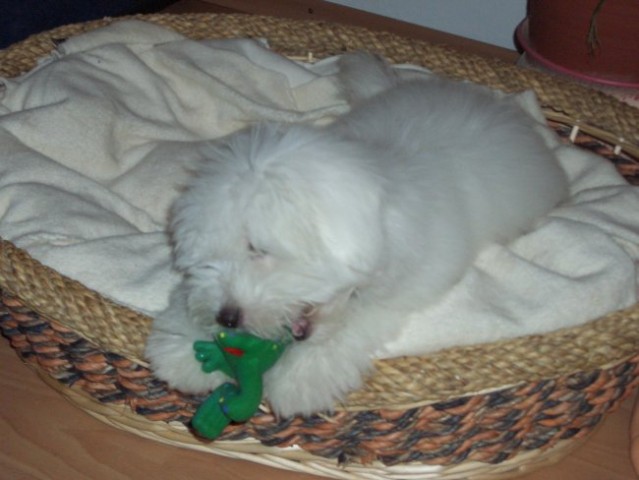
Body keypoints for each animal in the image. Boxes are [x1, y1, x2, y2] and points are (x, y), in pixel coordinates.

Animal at [144, 52, 564, 416]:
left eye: (257, 249)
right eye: (206, 260)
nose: (226, 318)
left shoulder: (400, 290)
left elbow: (353, 325)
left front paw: (297, 381)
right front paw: (183, 350)